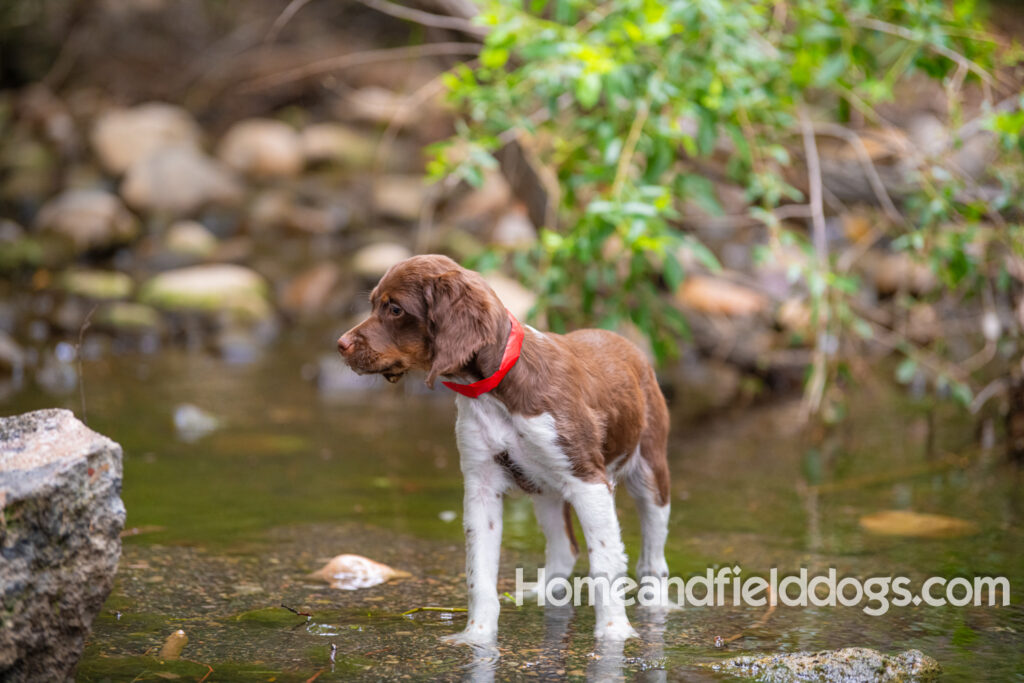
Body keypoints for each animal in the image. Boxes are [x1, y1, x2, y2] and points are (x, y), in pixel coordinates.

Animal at [337, 254, 671, 647]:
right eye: (373, 303)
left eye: (394, 308)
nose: (340, 344)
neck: (497, 390)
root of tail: (626, 343)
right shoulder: (481, 486)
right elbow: (479, 572)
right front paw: (477, 636)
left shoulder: (588, 479)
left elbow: (605, 560)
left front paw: (614, 633)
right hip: (546, 491)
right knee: (564, 549)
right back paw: (542, 594)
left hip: (649, 470)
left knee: (653, 555)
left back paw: (657, 605)